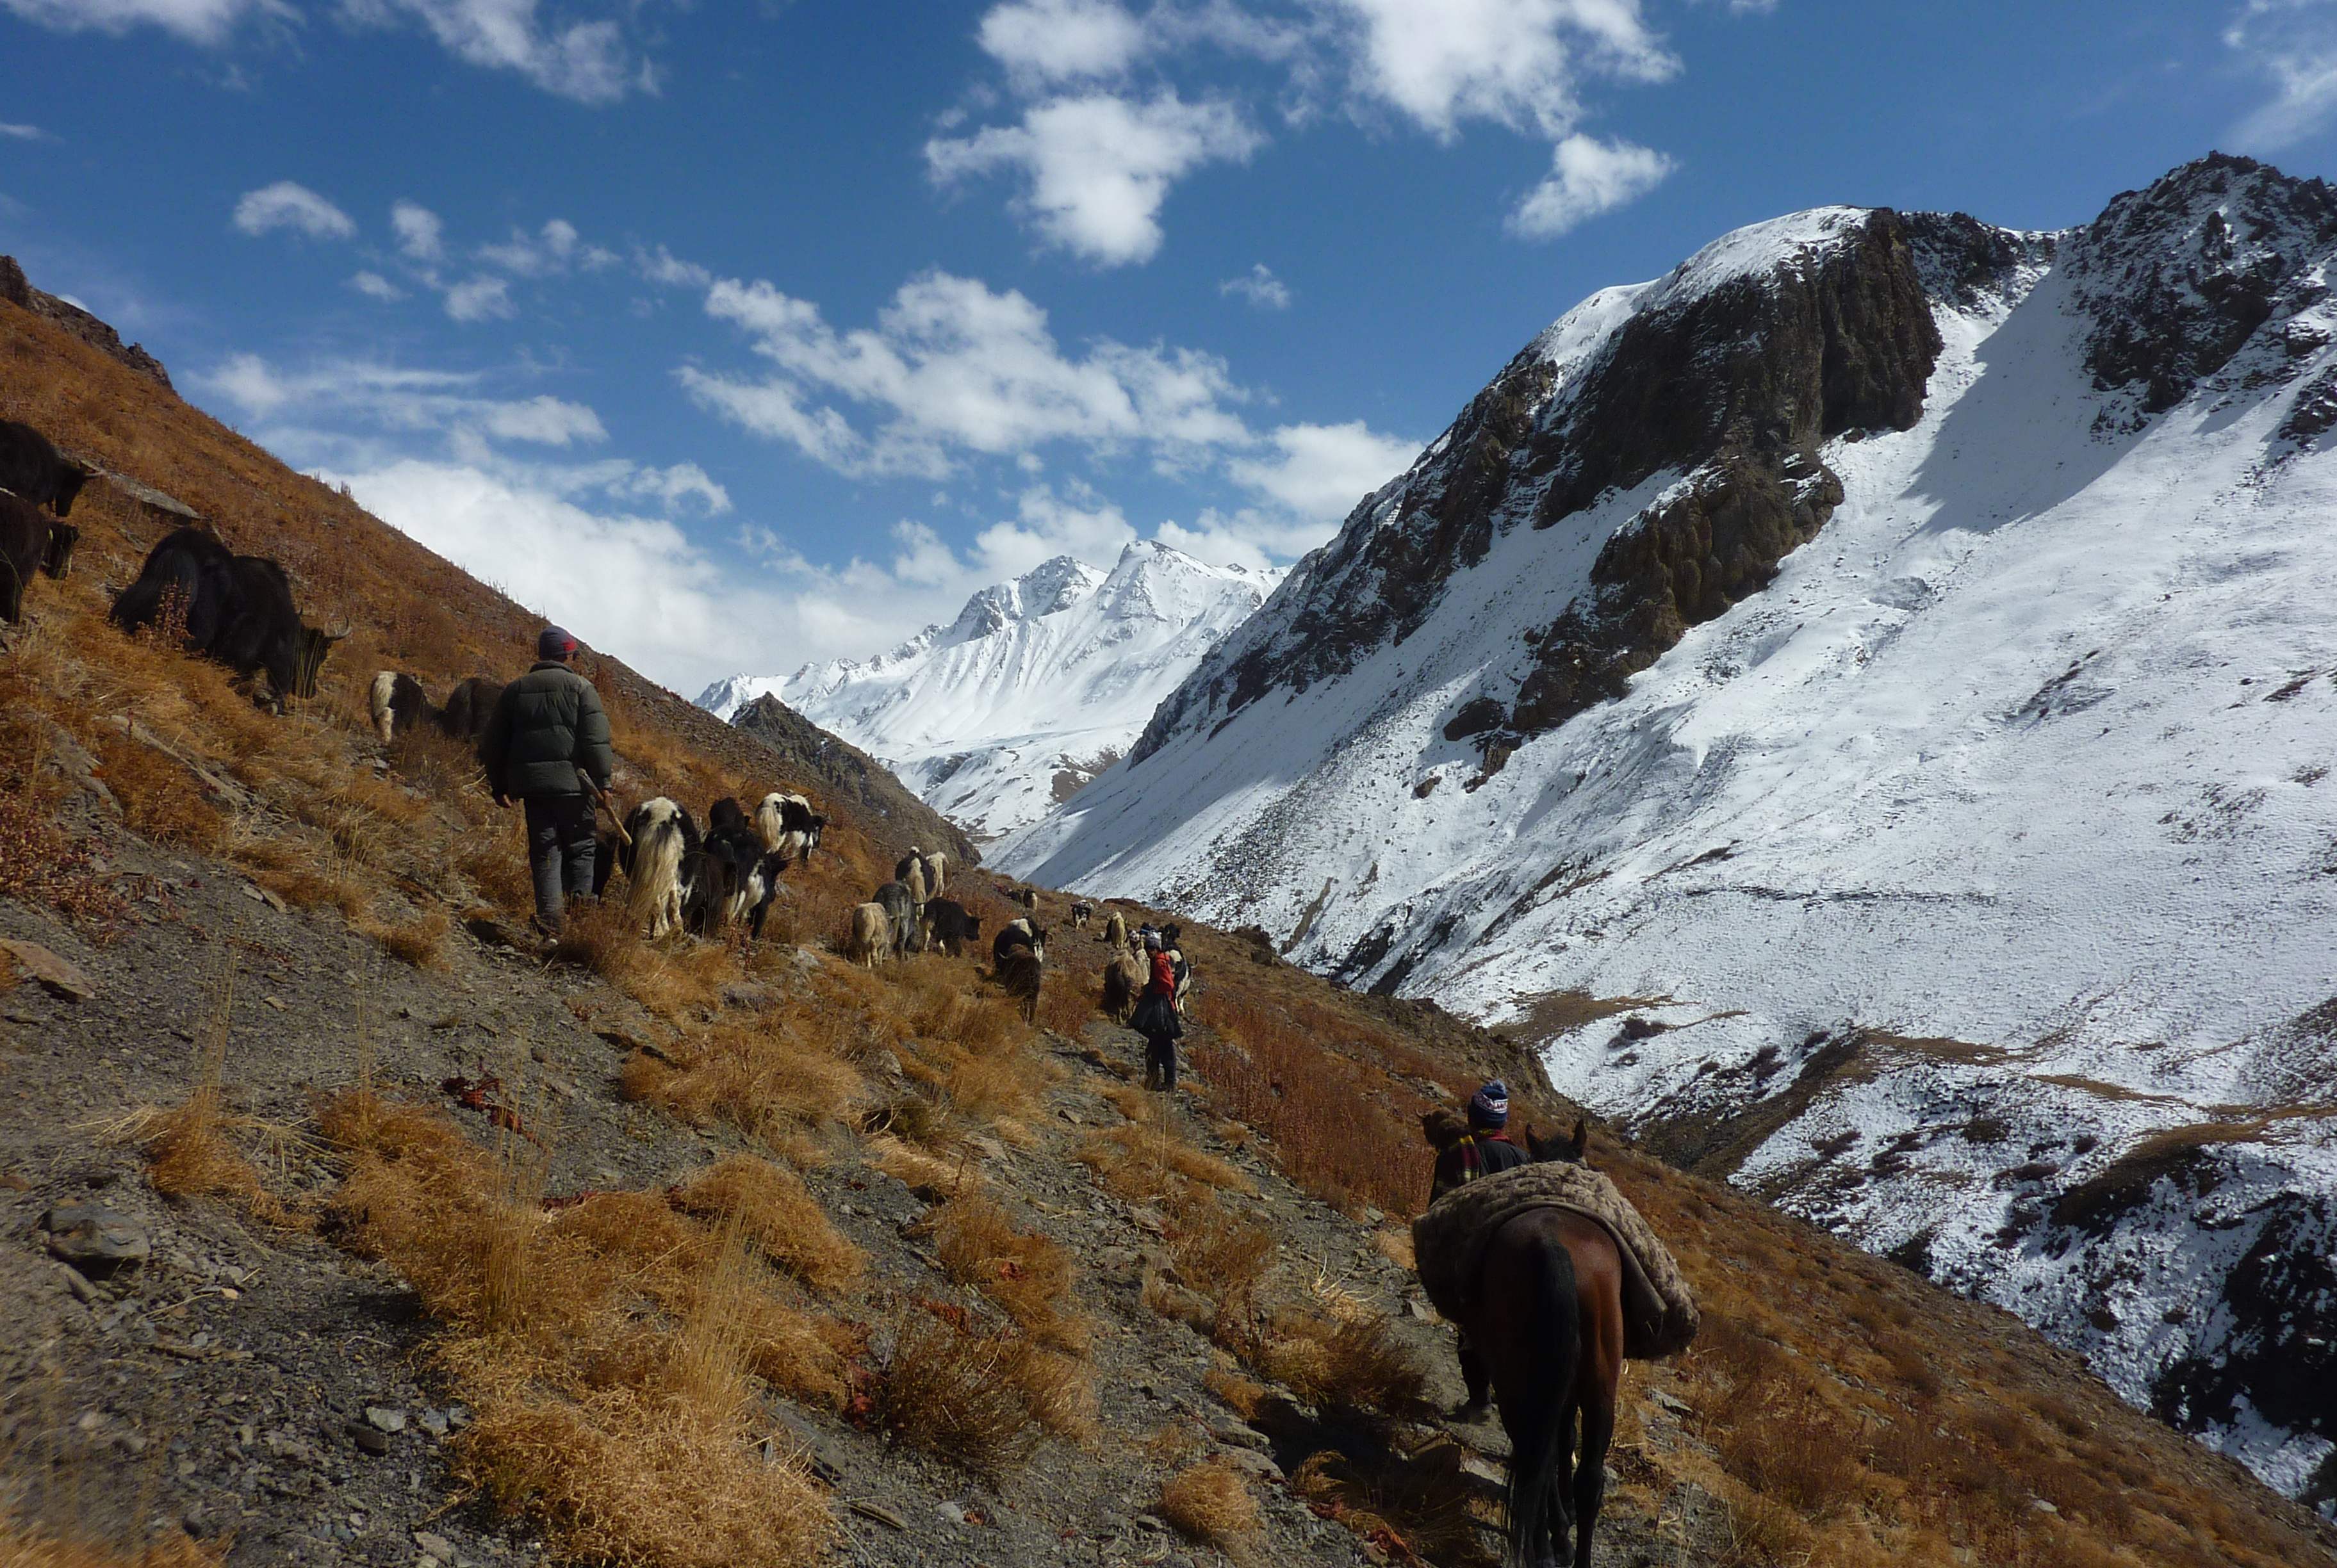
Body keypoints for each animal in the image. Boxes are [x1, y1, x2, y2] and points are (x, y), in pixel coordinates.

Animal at [1467, 1116, 1617, 1568]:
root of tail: (1552, 1244)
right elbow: (1566, 1440)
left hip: (1521, 1376)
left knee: (1540, 1450)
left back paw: (1548, 1543)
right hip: (1593, 1378)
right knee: (1580, 1471)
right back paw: (1561, 1544)